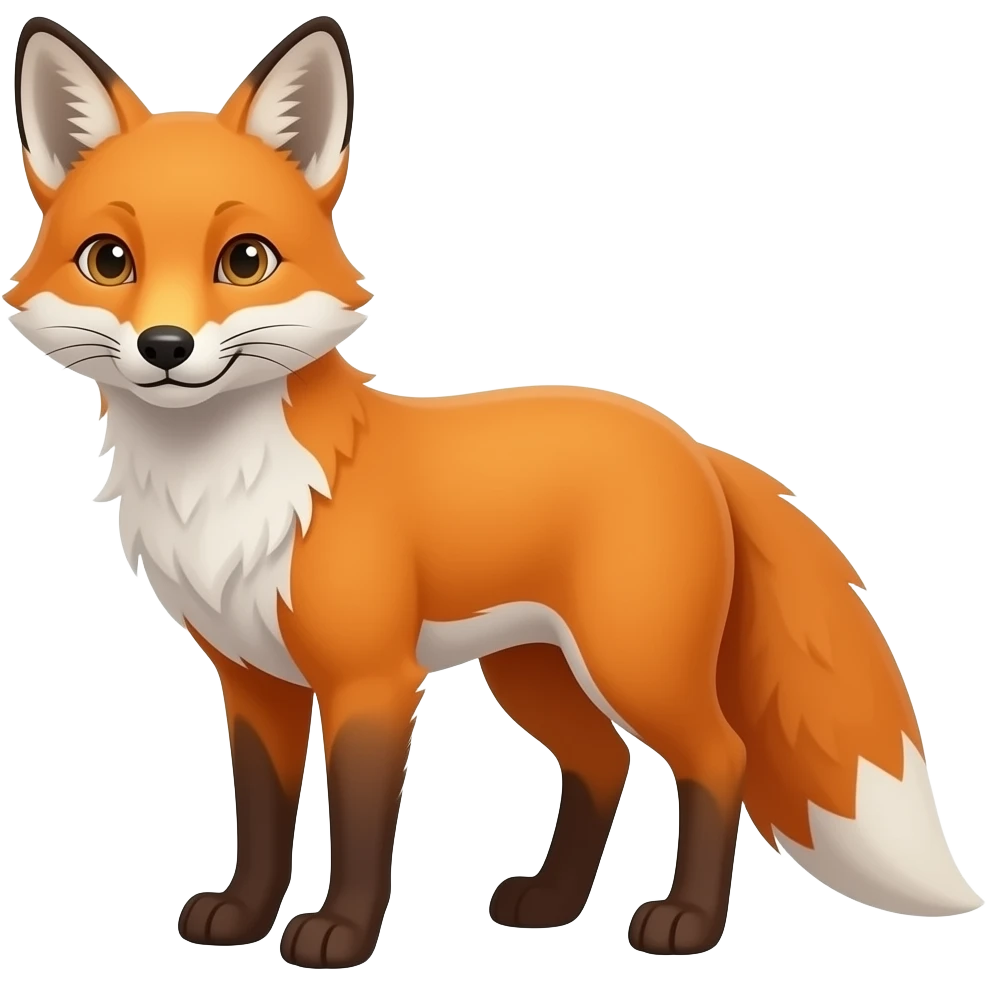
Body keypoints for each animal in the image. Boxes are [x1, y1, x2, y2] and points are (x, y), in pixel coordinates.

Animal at [6, 13, 982, 970]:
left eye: (245, 260)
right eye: (109, 260)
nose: (165, 347)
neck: (224, 486)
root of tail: (691, 443)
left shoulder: (371, 680)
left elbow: (359, 826)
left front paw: (340, 935)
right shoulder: (253, 680)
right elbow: (261, 816)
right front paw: (244, 916)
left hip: (634, 662)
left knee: (718, 757)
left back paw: (688, 924)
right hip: (535, 670)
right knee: (604, 764)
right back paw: (551, 904)